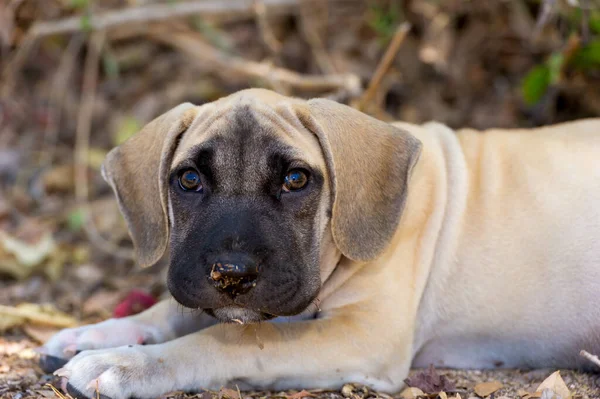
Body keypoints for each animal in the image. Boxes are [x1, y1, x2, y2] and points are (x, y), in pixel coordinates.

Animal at [43, 89, 600, 398]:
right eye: (189, 180)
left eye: (296, 180)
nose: (232, 273)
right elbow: (171, 311)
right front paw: (96, 335)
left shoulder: (364, 335)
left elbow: (234, 338)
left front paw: (125, 365)